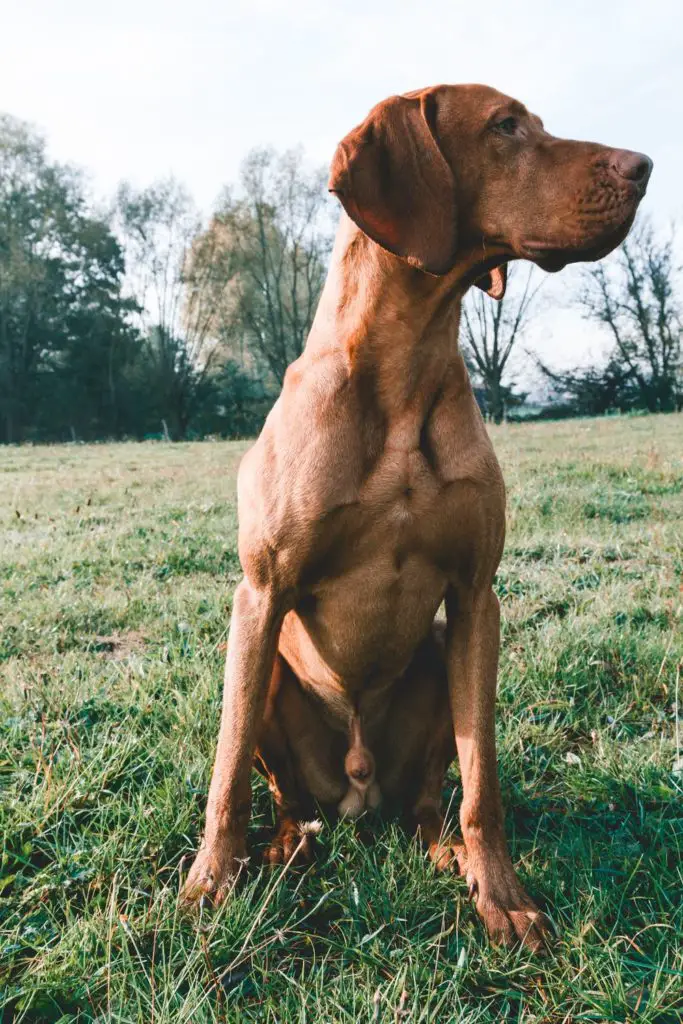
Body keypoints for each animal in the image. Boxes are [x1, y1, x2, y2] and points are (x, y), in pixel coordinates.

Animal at [181, 81, 651, 950]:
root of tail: (359, 796)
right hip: (271, 679)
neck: (401, 369)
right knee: (287, 799)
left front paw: (503, 897)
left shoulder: (473, 598)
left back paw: (445, 854)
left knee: (433, 803)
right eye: (505, 125)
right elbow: (225, 774)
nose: (643, 165)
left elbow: (483, 785)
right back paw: (283, 849)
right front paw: (206, 886)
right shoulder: (258, 595)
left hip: (434, 663)